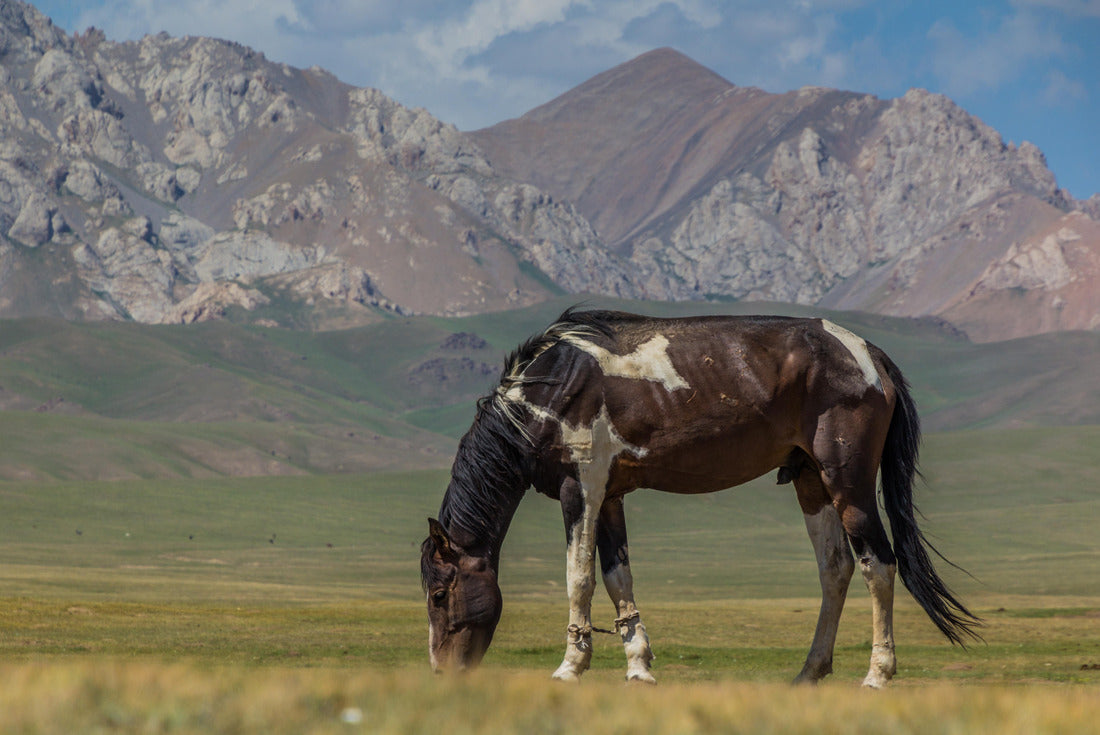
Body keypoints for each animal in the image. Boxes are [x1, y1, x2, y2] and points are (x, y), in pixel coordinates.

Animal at [420, 307, 979, 686]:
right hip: (811, 481)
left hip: (849, 482)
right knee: (835, 569)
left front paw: (570, 667)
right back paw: (809, 672)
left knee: (877, 566)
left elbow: (579, 578)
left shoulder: (581, 486)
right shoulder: (611, 495)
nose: (442, 673)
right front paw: (639, 667)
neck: (550, 388)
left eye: (439, 595)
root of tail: (867, 354)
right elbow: (617, 578)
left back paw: (877, 675)